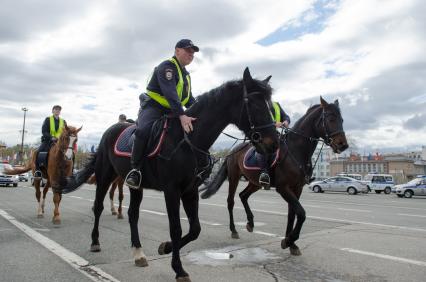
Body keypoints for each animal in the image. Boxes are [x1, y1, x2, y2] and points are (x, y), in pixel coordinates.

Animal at [61, 68, 278, 282]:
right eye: (256, 104)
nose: (273, 144)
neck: (187, 139)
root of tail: (109, 131)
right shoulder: (171, 190)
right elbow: (176, 228)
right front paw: (178, 269)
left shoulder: (190, 190)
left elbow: (195, 229)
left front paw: (165, 247)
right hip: (105, 175)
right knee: (97, 207)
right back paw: (95, 242)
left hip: (136, 185)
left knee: (133, 214)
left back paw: (138, 253)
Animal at [201, 97, 348, 256]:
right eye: (331, 119)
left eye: (342, 119)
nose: (343, 145)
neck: (296, 150)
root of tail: (233, 150)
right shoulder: (283, 188)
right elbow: (301, 213)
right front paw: (289, 240)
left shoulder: (297, 188)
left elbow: (292, 213)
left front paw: (291, 243)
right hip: (234, 177)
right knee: (231, 201)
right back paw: (234, 230)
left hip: (255, 182)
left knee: (243, 196)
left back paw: (250, 223)